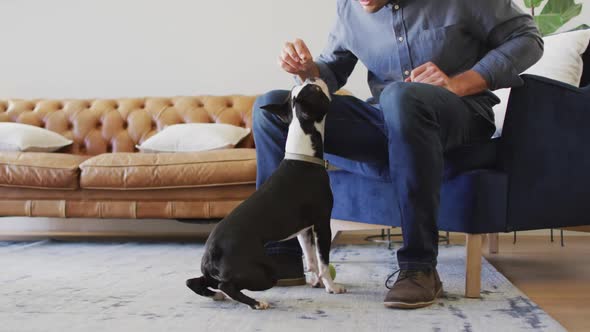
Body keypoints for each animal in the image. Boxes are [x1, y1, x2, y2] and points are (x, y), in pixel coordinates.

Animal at [187, 78, 346, 308]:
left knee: (196, 282)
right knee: (226, 284)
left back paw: (217, 295)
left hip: (220, 272)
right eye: (316, 90)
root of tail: (211, 252)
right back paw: (255, 302)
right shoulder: (322, 223)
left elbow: (311, 259)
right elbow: (323, 261)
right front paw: (332, 287)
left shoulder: (303, 229)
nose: (311, 78)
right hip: (264, 271)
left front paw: (315, 281)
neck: (303, 156)